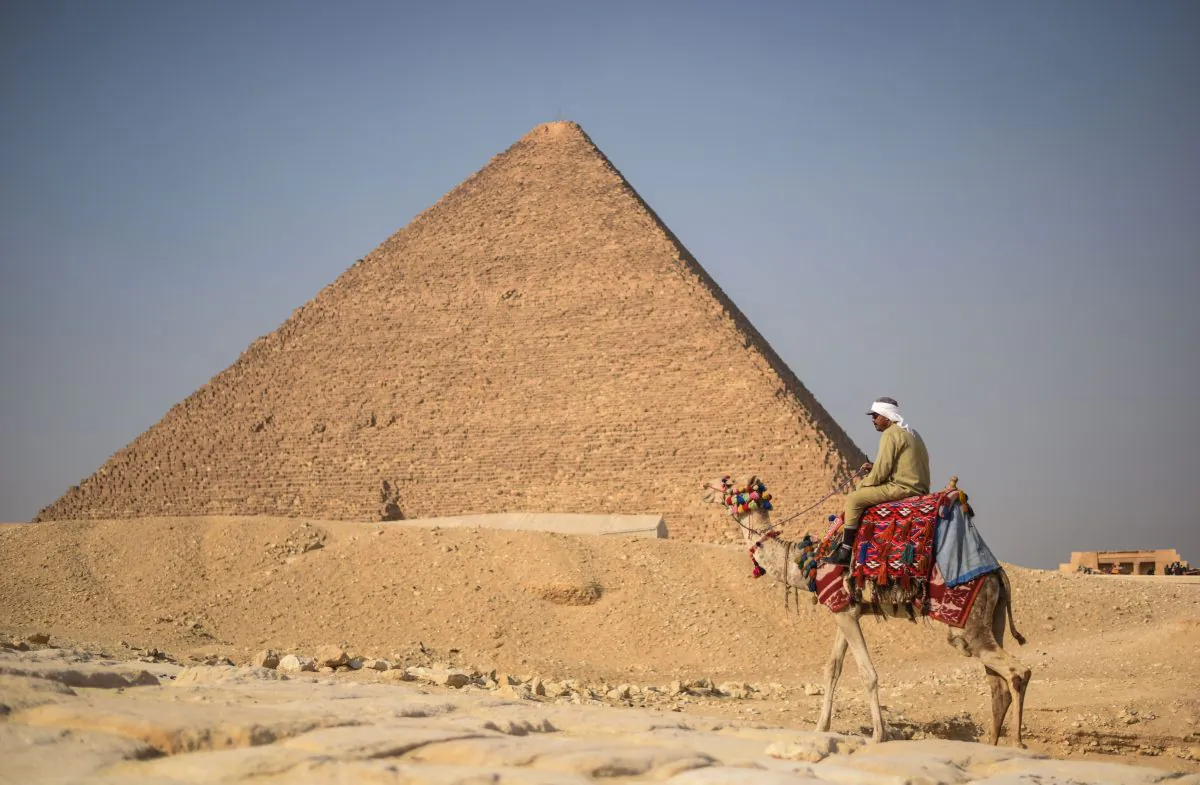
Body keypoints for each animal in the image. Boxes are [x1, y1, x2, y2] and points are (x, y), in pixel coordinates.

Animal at [702, 477, 1032, 746]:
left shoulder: (844, 611)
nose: (705, 487)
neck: (807, 561)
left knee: (1018, 672)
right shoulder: (845, 610)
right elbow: (833, 668)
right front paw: (821, 727)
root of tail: (998, 574)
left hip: (967, 625)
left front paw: (879, 734)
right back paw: (993, 743)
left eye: (728, 485)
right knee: (998, 684)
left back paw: (1016, 743)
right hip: (991, 618)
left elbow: (867, 673)